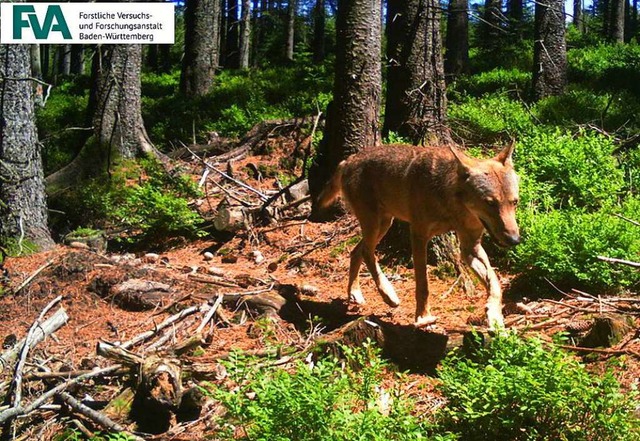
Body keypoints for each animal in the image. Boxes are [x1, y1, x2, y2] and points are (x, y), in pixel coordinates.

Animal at [316, 143, 520, 328]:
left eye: (514, 202)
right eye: (490, 203)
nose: (515, 240)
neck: (450, 204)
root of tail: (348, 160)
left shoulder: (470, 246)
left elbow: (495, 283)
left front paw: (494, 316)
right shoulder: (419, 236)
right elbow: (423, 285)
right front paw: (423, 318)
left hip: (384, 224)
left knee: (356, 251)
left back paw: (355, 293)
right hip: (376, 225)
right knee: (367, 252)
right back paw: (388, 294)